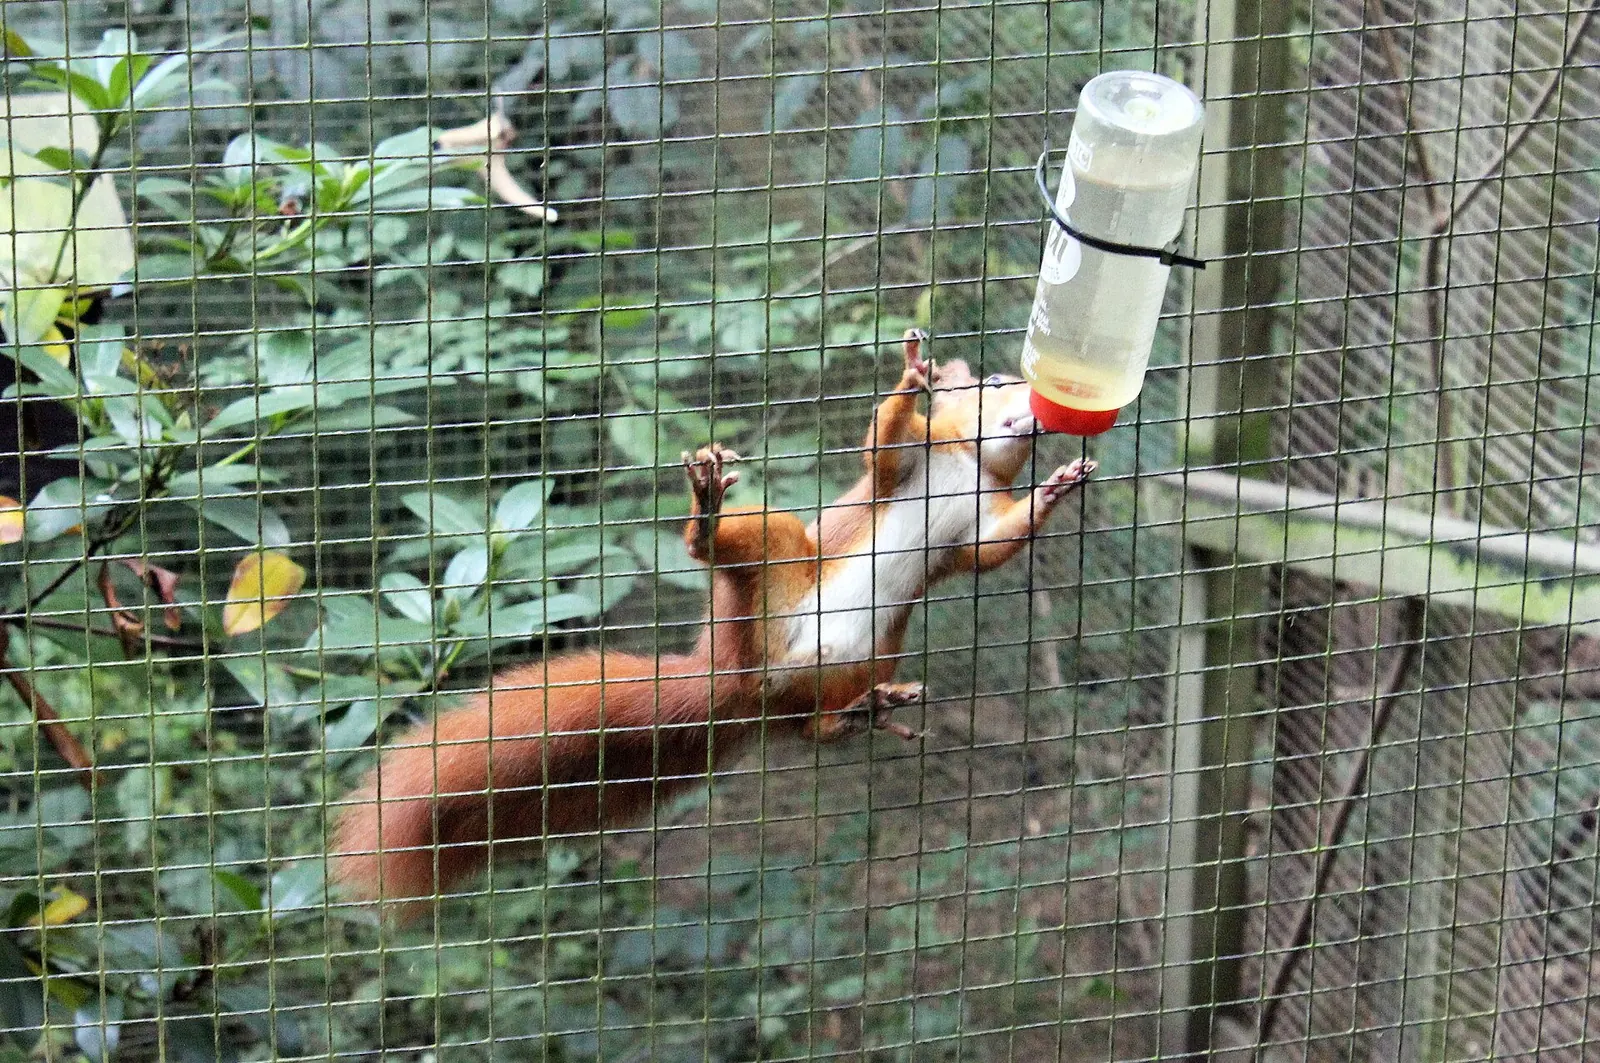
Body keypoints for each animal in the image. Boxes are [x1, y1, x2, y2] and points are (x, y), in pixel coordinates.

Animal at [330, 329, 1096, 907]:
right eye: (996, 379)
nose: (1042, 412)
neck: (970, 464)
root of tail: (731, 682)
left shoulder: (979, 522)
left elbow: (994, 548)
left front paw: (1055, 490)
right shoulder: (909, 465)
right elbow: (882, 445)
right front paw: (913, 376)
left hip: (870, 652)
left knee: (816, 727)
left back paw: (866, 712)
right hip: (769, 581)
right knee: (749, 549)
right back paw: (705, 523)